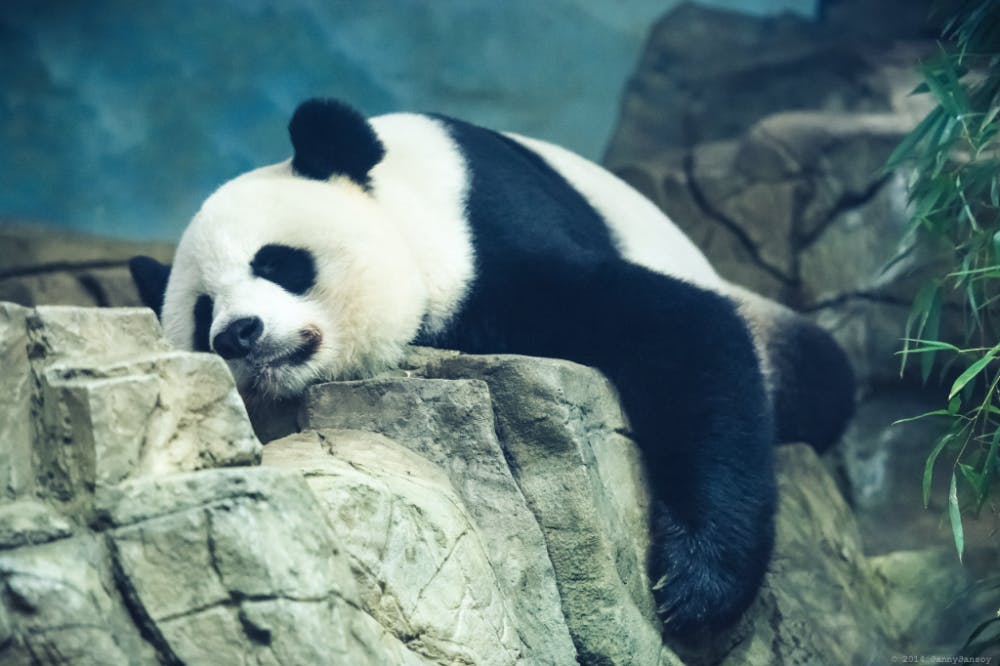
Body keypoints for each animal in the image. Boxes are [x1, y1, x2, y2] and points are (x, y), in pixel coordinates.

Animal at [130, 98, 854, 638]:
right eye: (202, 311)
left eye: (277, 262)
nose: (238, 334)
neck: (409, 195)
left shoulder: (494, 239)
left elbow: (683, 330)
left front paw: (695, 584)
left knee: (821, 377)